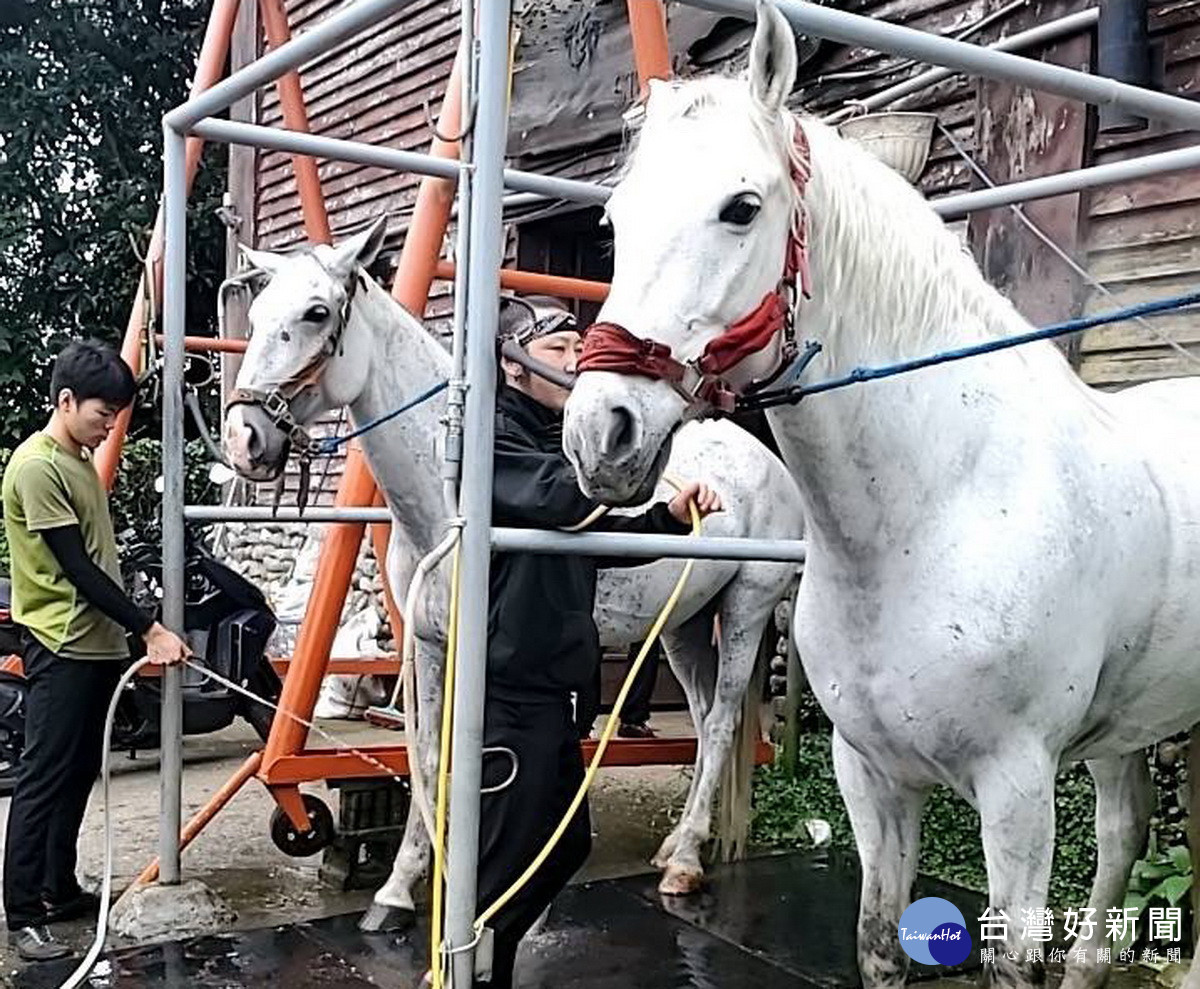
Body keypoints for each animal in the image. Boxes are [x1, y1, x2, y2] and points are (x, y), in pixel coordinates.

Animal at [223, 219, 806, 921]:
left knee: (720, 722)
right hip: (683, 626)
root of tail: (766, 461)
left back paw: (685, 864)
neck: (451, 499)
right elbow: (427, 754)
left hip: (746, 607)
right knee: (700, 718)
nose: (244, 440)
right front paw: (399, 887)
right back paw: (676, 846)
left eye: (315, 313)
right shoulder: (429, 644)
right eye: (255, 313)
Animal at [556, 3, 1200, 984]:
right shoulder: (872, 776)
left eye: (741, 208)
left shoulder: (1017, 793)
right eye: (615, 218)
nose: (603, 433)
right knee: (1126, 829)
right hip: (1129, 725)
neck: (937, 513)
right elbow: (878, 942)